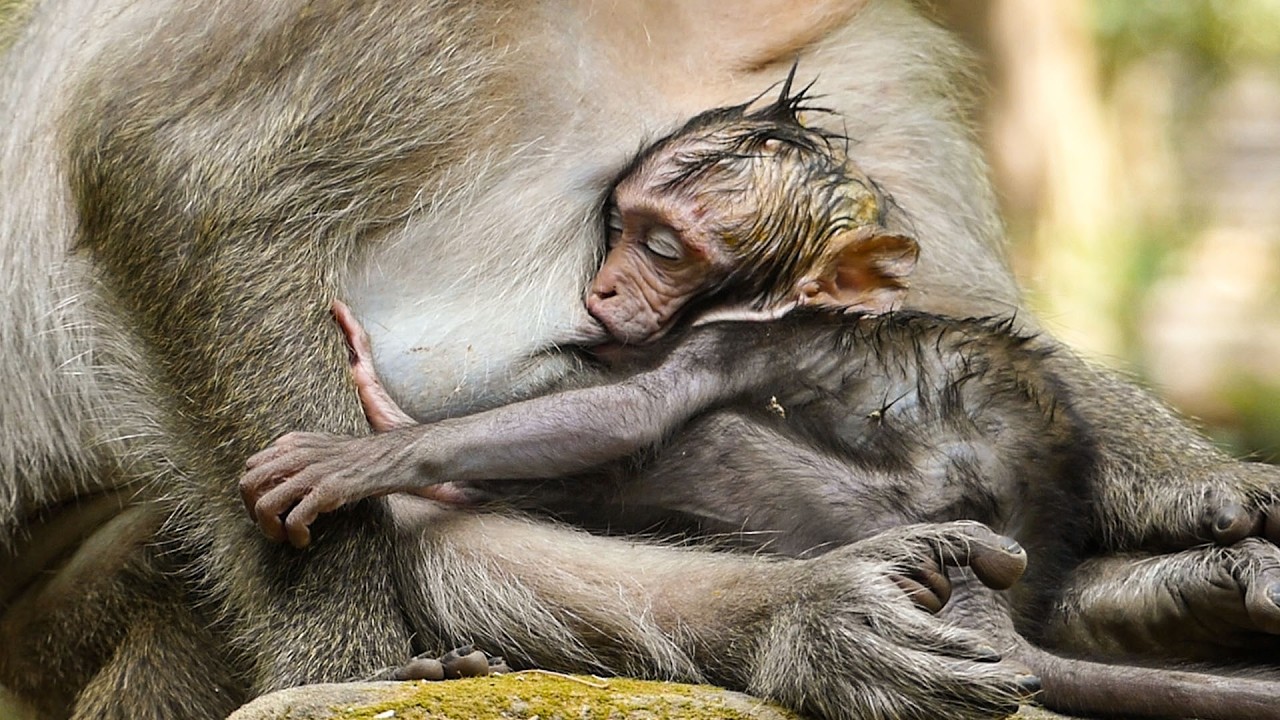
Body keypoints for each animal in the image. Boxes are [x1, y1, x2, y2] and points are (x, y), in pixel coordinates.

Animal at [4, 1, 1280, 719]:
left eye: (663, 244)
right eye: (624, 228)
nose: (609, 288)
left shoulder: (851, 58)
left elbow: (951, 315)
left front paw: (1195, 486)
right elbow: (182, 181)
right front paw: (346, 659)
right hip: (55, 602)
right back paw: (812, 617)